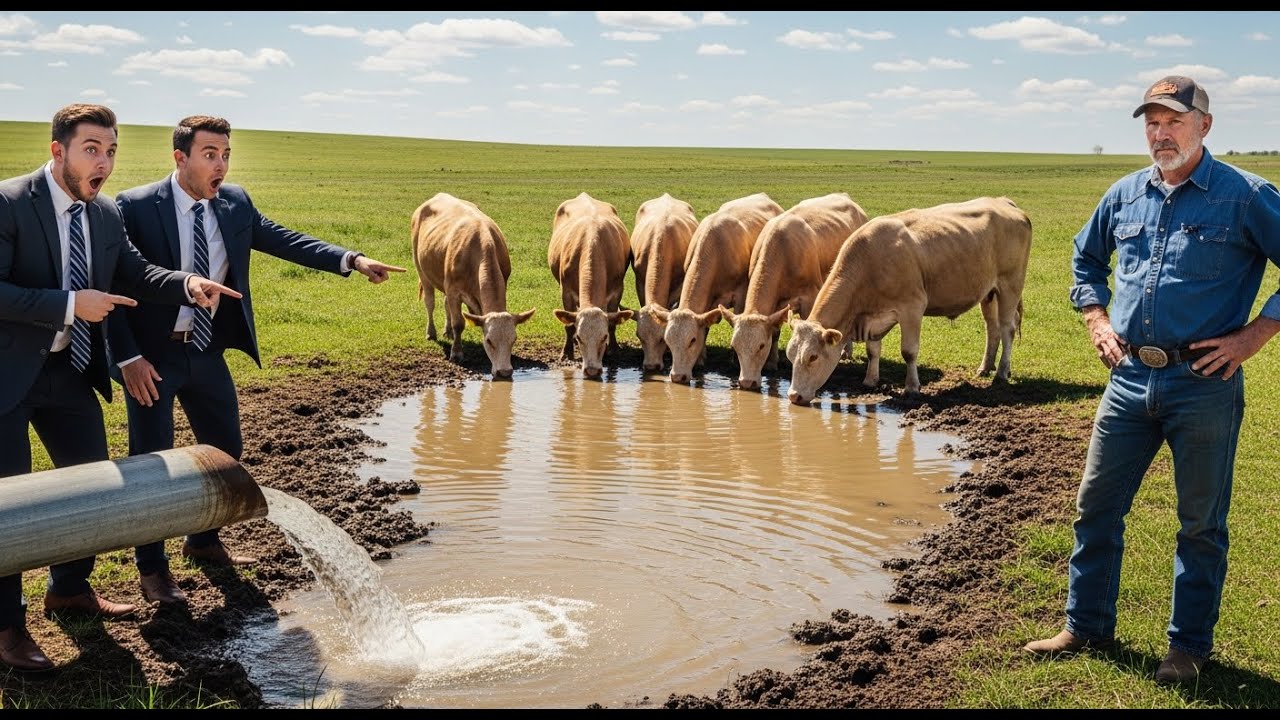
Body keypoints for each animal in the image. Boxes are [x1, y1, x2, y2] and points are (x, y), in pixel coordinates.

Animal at [411, 192, 536, 379]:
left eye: (513, 339)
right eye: (489, 341)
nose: (505, 372)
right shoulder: (454, 290)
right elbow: (459, 323)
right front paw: (456, 353)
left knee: (445, 303)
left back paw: (447, 331)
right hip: (421, 269)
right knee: (430, 302)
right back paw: (431, 333)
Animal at [547, 192, 634, 378]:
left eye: (604, 337)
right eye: (581, 338)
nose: (592, 370)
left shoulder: (617, 290)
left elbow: (613, 322)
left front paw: (613, 349)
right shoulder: (566, 291)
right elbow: (569, 325)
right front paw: (567, 352)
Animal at [652, 192, 783, 384]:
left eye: (692, 340)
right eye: (666, 341)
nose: (676, 377)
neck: (716, 248)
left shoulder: (741, 294)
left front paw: (735, 361)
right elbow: (705, 326)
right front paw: (700, 360)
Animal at [720, 192, 868, 391]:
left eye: (761, 346)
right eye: (734, 347)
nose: (746, 383)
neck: (783, 251)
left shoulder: (809, 298)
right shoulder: (776, 305)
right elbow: (775, 331)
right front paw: (772, 363)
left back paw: (847, 351)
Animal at [786, 196, 1032, 404]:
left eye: (812, 357)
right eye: (789, 355)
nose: (794, 396)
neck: (870, 264)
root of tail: (1005, 202)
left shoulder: (912, 308)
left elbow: (909, 351)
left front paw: (912, 387)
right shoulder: (872, 317)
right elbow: (873, 350)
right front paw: (870, 380)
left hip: (1011, 285)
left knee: (1007, 328)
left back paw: (1001, 372)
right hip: (989, 293)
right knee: (992, 327)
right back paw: (985, 367)